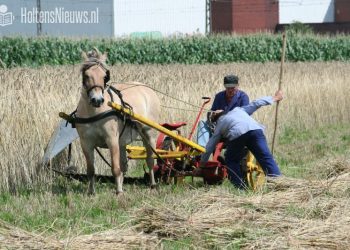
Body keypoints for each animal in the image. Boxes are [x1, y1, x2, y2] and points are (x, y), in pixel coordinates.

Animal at [76, 47, 161, 194]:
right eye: (86, 76)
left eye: (105, 76)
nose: (97, 100)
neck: (95, 112)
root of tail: (147, 89)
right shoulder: (86, 143)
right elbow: (91, 170)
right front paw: (91, 192)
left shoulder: (112, 140)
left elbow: (115, 168)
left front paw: (119, 192)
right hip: (122, 142)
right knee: (124, 165)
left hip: (148, 134)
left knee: (150, 160)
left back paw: (152, 184)